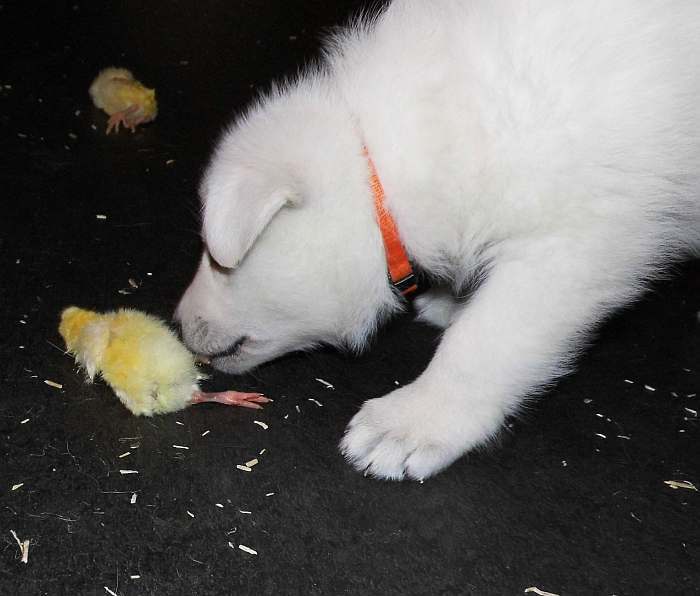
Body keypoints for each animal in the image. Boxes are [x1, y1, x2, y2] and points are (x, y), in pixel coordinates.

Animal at [175, 0, 700, 482]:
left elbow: (486, 339)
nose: (178, 324)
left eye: (217, 260)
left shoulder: (575, 248)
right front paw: (454, 303)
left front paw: (415, 420)